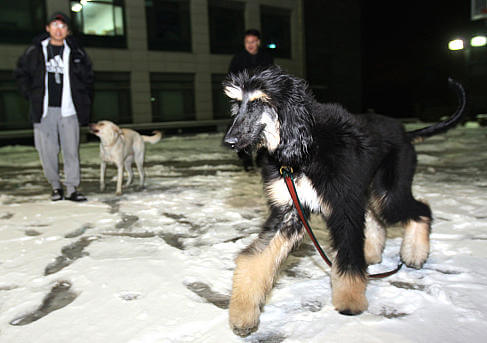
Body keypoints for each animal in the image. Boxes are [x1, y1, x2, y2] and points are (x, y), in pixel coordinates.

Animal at [223, 66, 468, 336]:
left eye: (259, 102)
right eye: (238, 103)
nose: (230, 141)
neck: (303, 150)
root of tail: (405, 133)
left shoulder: (343, 206)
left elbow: (348, 257)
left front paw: (351, 300)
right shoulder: (290, 210)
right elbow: (255, 259)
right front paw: (243, 314)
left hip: (388, 191)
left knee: (421, 209)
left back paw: (414, 253)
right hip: (369, 189)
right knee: (377, 218)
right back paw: (372, 254)